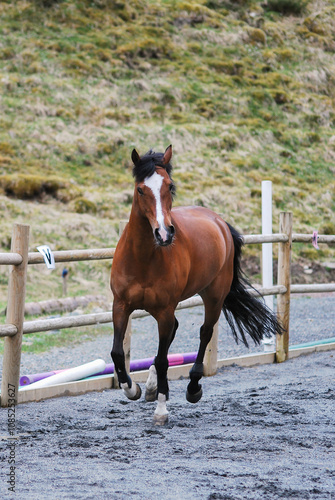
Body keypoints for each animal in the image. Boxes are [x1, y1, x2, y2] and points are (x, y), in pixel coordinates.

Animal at [111, 146, 284, 424]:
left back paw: (192, 387)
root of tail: (218, 221)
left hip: (213, 296)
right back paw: (151, 386)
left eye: (170, 186)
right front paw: (133, 389)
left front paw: (161, 409)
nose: (164, 233)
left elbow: (163, 360)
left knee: (204, 332)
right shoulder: (121, 305)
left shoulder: (164, 311)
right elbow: (118, 353)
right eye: (140, 189)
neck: (143, 257)